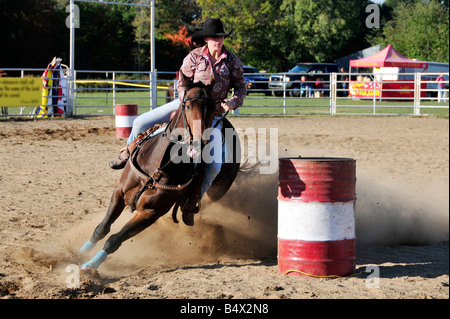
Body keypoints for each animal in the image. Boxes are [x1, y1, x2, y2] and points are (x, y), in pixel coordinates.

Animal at [81, 72, 243, 270]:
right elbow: (102, 228)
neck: (158, 168)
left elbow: (114, 240)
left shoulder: (151, 213)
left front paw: (90, 266)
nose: (200, 142)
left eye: (213, 107)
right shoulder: (119, 192)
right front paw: (79, 252)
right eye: (187, 105)